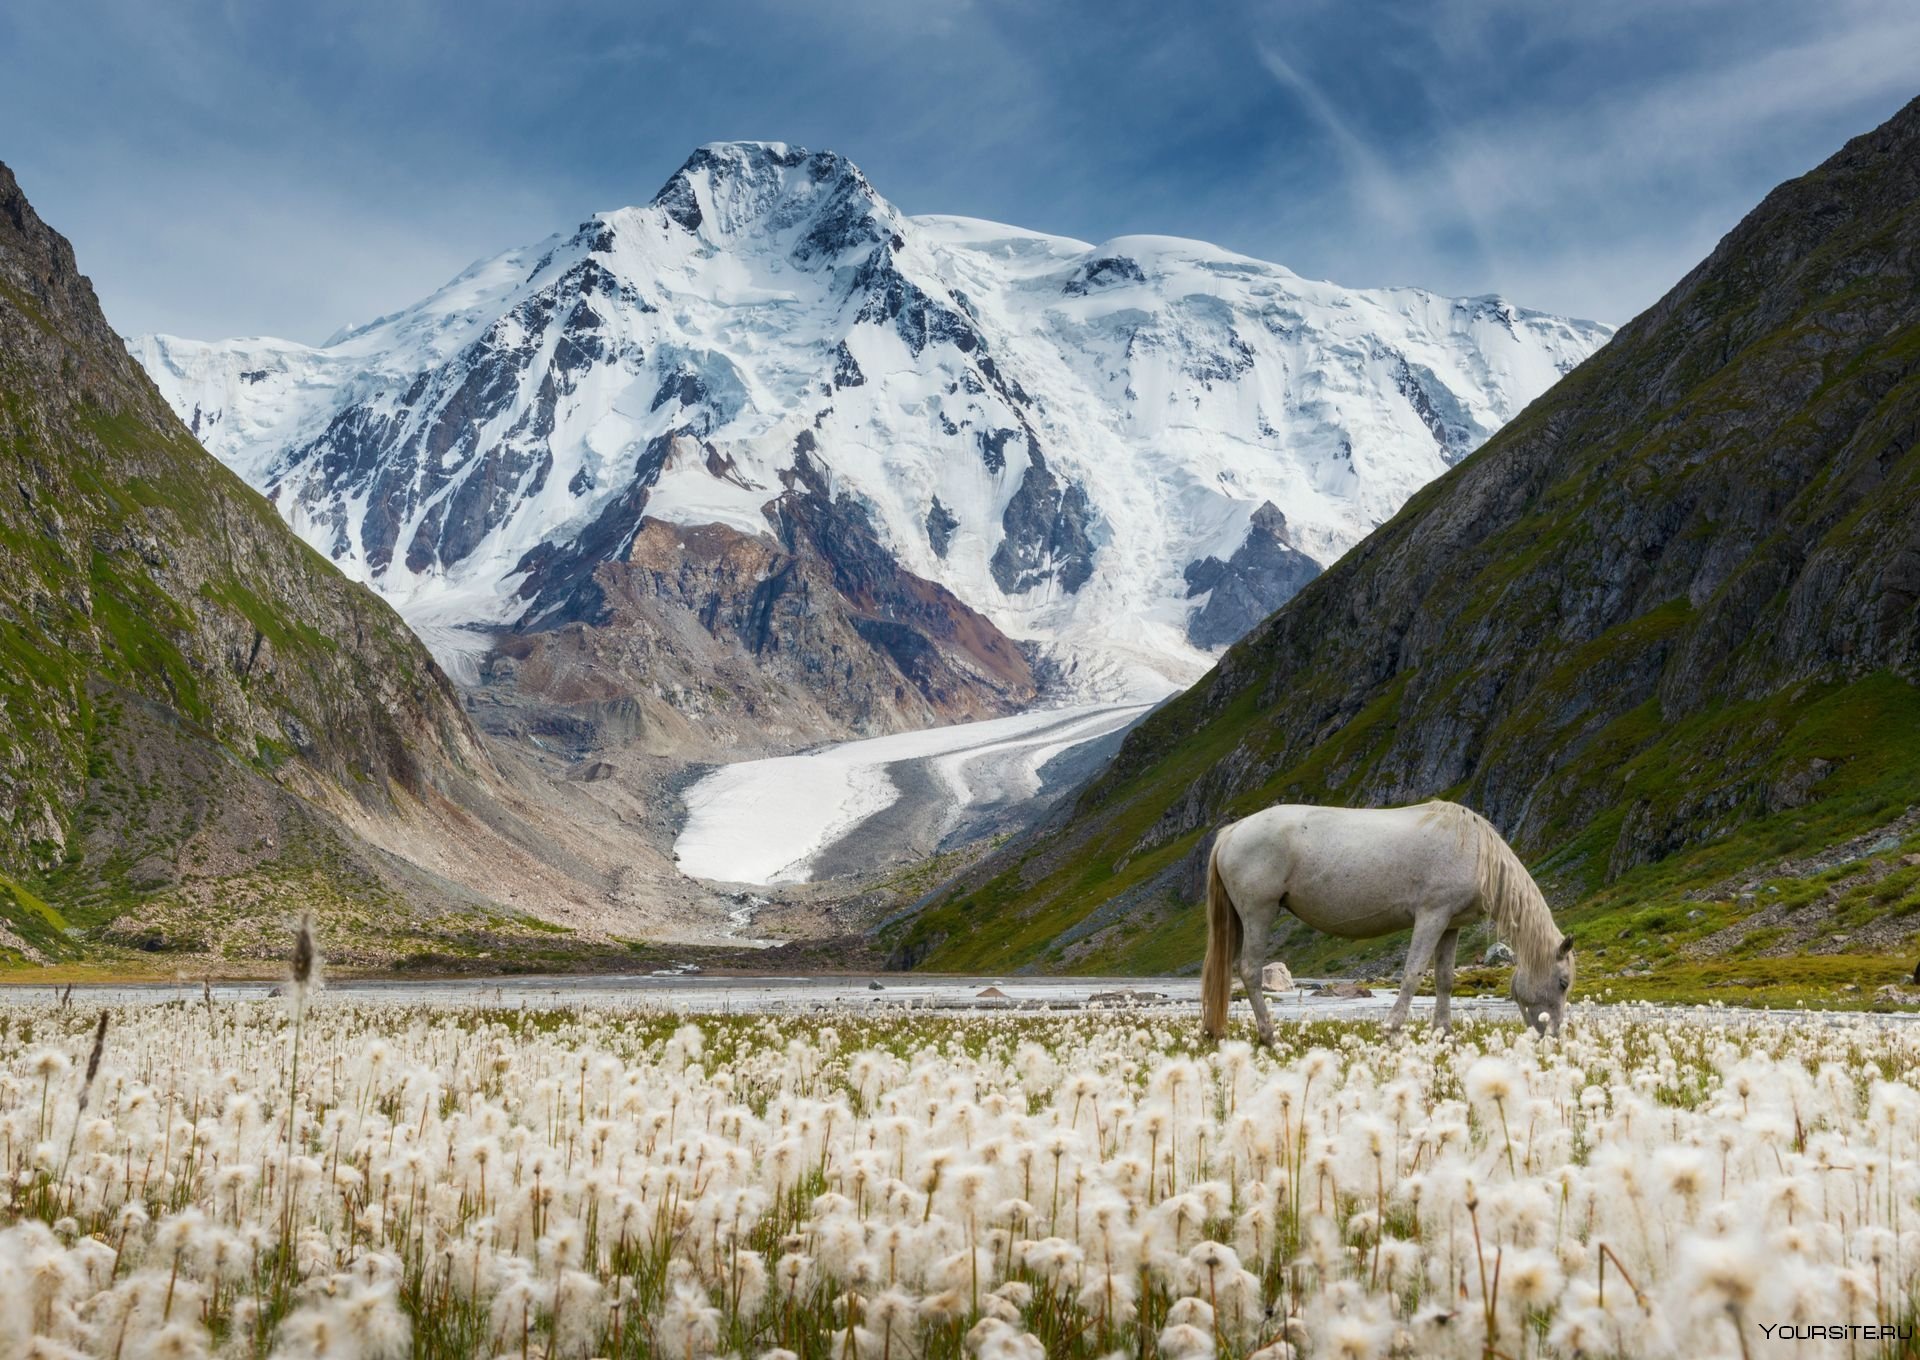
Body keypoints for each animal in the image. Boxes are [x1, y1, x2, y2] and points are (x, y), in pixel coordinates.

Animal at [1198, 795, 1574, 1044]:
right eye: (1563, 982)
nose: (1554, 1036)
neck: (1475, 851)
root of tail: (1232, 832)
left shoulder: (1450, 924)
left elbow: (1444, 980)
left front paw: (1443, 1033)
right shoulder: (1431, 916)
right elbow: (1412, 975)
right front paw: (1392, 1030)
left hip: (1241, 919)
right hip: (1258, 912)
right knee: (1249, 971)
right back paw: (1270, 1036)